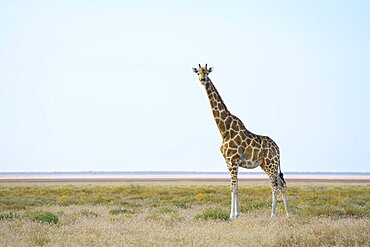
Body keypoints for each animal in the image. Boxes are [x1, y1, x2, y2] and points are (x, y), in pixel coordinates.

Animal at [192, 63, 290, 218]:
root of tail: (278, 148)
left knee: (274, 185)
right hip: (266, 165)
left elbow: (234, 187)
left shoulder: (233, 161)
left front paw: (233, 215)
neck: (224, 130)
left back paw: (273, 215)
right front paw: (234, 214)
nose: (202, 79)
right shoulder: (228, 162)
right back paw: (288, 214)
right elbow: (233, 186)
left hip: (271, 164)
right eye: (198, 73)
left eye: (207, 72)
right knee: (282, 184)